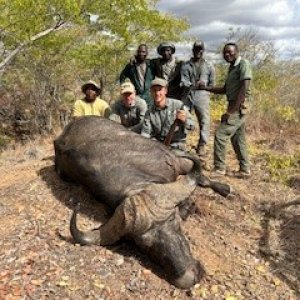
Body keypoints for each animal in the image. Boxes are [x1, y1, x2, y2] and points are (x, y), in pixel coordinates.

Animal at [54, 116, 232, 288]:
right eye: (145, 245)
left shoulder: (178, 162)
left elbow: (203, 178)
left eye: (176, 224)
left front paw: (224, 189)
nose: (187, 279)